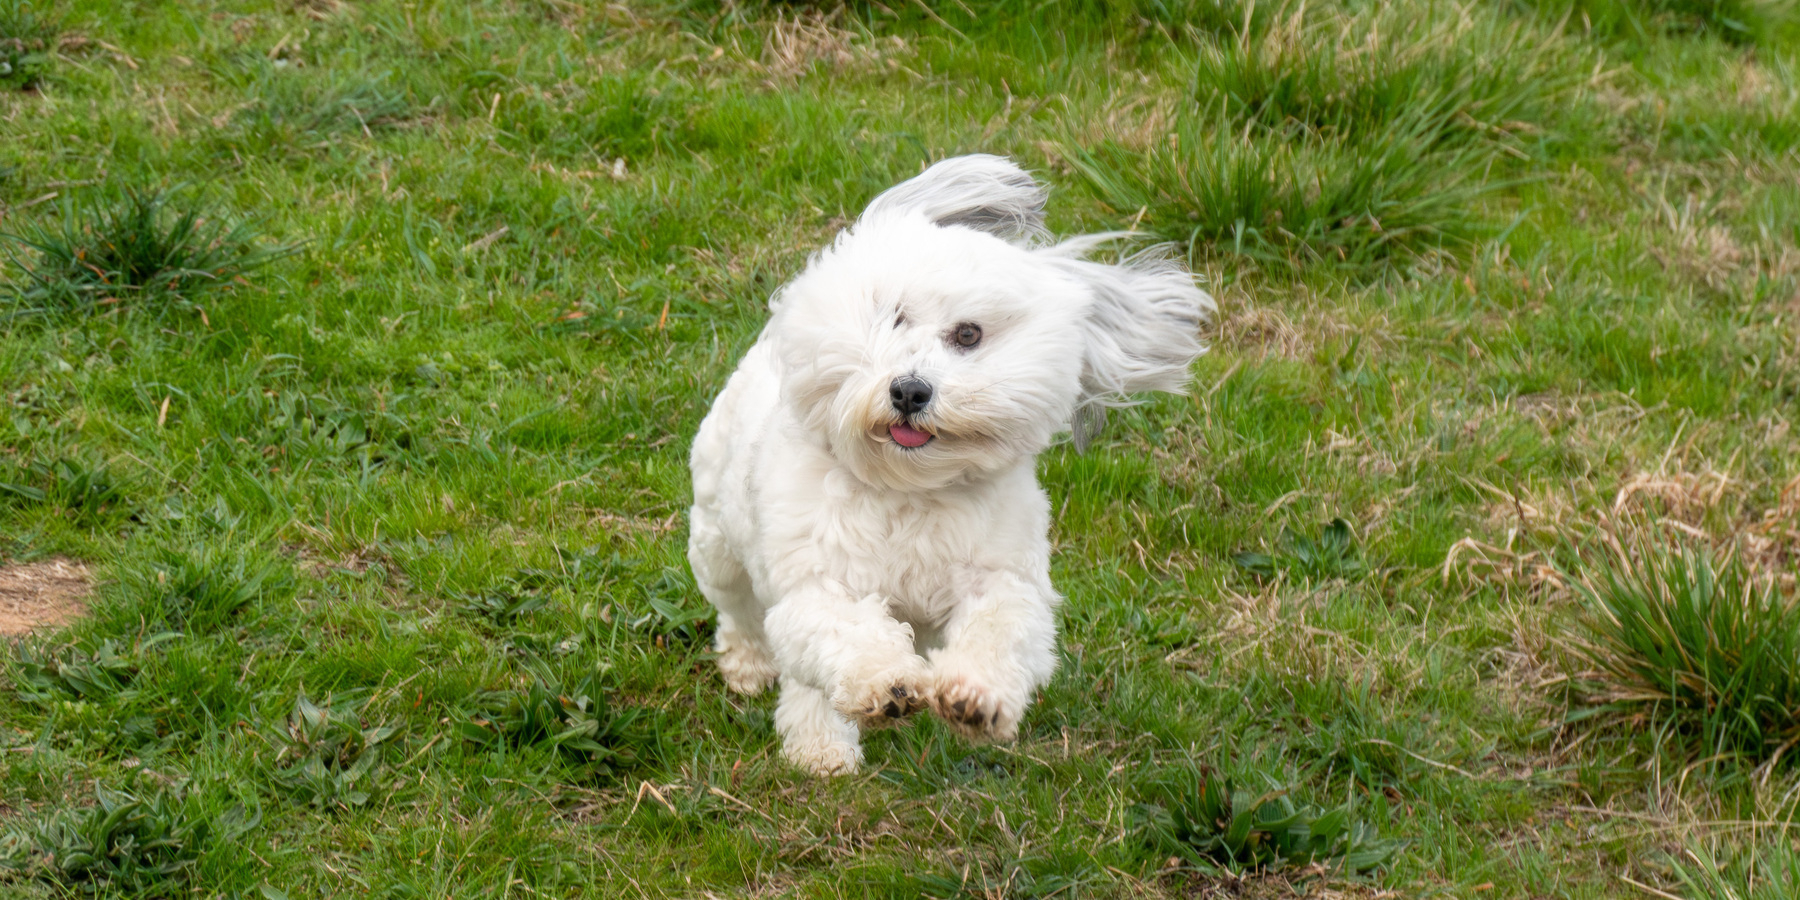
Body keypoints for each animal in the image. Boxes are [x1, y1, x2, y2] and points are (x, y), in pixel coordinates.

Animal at [680, 154, 1216, 774]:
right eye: (892, 316)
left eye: (968, 334)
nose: (910, 390)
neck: (911, 490)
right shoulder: (817, 584)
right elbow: (847, 634)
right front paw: (885, 685)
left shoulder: (1004, 579)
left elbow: (1000, 629)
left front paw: (975, 699)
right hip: (718, 544)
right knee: (745, 618)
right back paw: (776, 697)